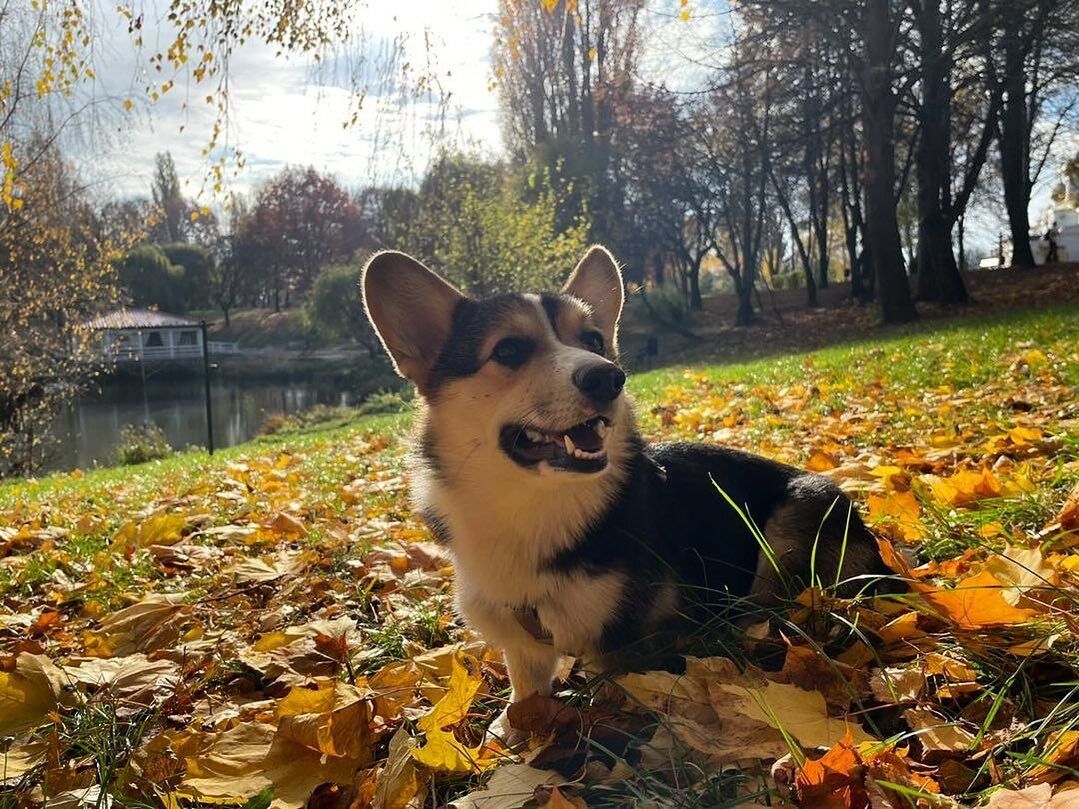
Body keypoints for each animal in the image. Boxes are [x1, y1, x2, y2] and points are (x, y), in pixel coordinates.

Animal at [362, 247, 893, 733]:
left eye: (594, 340)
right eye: (509, 349)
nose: (608, 376)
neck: (532, 506)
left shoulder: (626, 646)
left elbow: (616, 692)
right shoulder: (522, 642)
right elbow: (526, 689)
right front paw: (514, 729)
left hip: (794, 518)